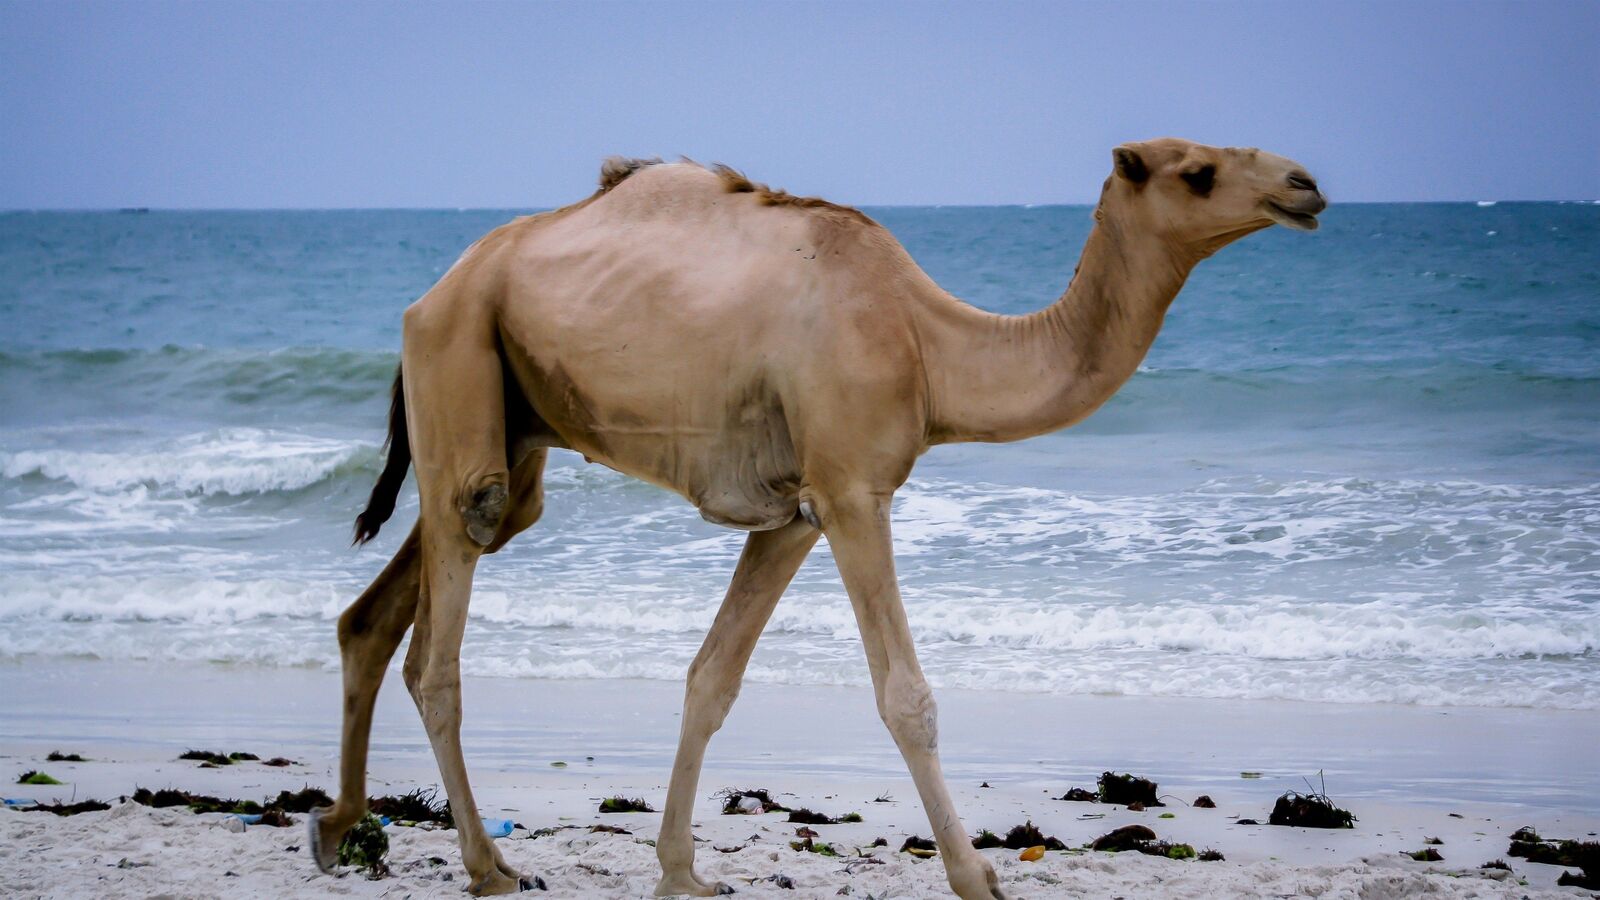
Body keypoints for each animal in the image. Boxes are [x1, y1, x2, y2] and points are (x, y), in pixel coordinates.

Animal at [307, 138, 1324, 899]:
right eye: (1197, 171)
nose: (1305, 185)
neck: (930, 347)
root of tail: (432, 291)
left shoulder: (793, 514)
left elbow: (712, 680)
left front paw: (681, 871)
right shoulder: (851, 490)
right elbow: (906, 697)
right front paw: (978, 878)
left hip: (514, 428)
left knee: (377, 614)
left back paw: (340, 830)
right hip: (458, 368)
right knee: (440, 640)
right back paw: (487, 866)